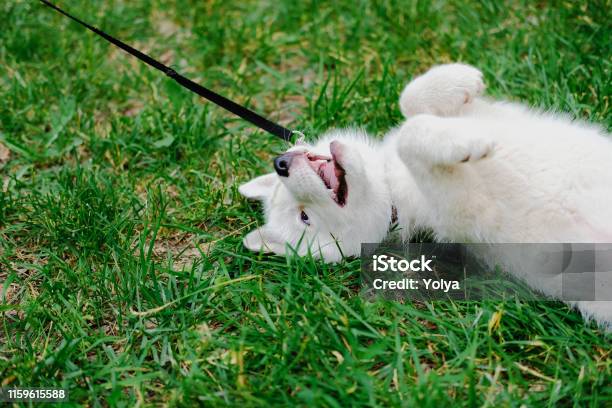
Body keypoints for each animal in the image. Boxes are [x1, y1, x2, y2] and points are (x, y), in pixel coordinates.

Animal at [238, 62, 612, 326]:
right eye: (304, 217)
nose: (281, 163)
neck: (393, 184)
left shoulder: (490, 115)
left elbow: (410, 101)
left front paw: (460, 80)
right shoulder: (463, 211)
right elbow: (410, 135)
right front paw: (466, 142)